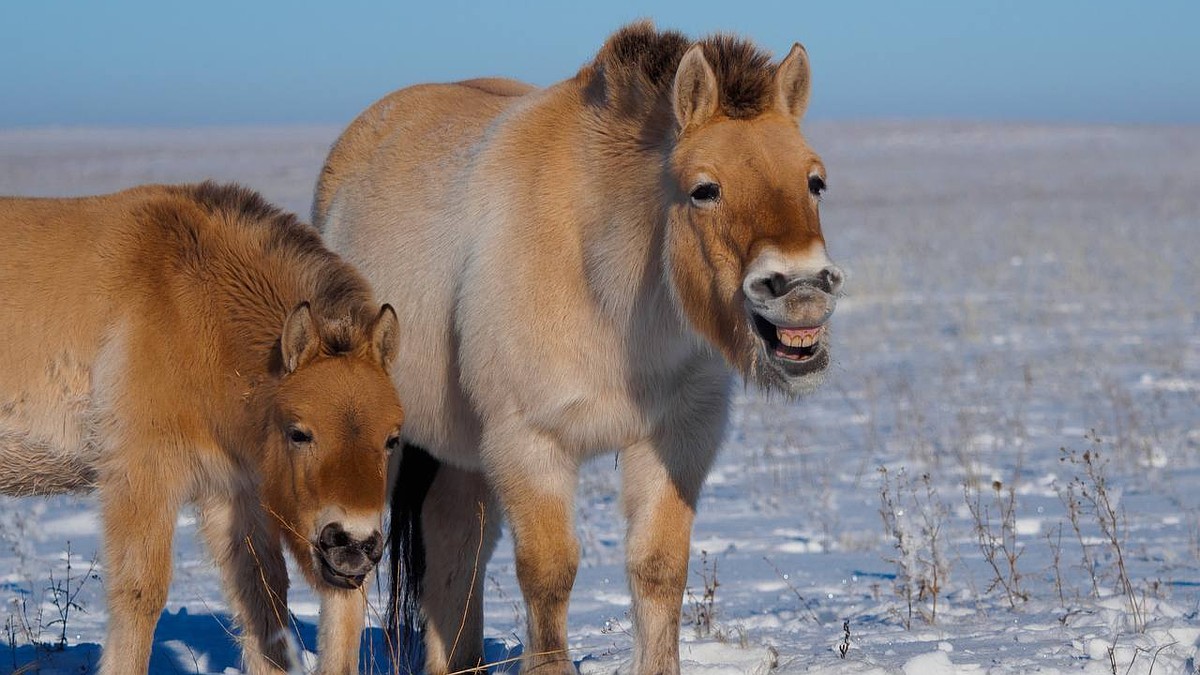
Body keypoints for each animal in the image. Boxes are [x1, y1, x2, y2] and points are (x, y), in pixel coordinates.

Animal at [0, 182, 405, 672]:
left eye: (391, 439)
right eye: (299, 432)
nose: (353, 544)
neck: (190, 305)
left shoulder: (231, 493)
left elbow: (264, 602)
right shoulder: (142, 477)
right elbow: (140, 594)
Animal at [314, 21, 844, 672]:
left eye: (814, 181)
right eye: (704, 190)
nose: (800, 288)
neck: (604, 288)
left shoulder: (675, 439)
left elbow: (658, 570)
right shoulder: (530, 445)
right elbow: (549, 576)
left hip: (463, 457)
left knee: (455, 544)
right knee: (349, 579)